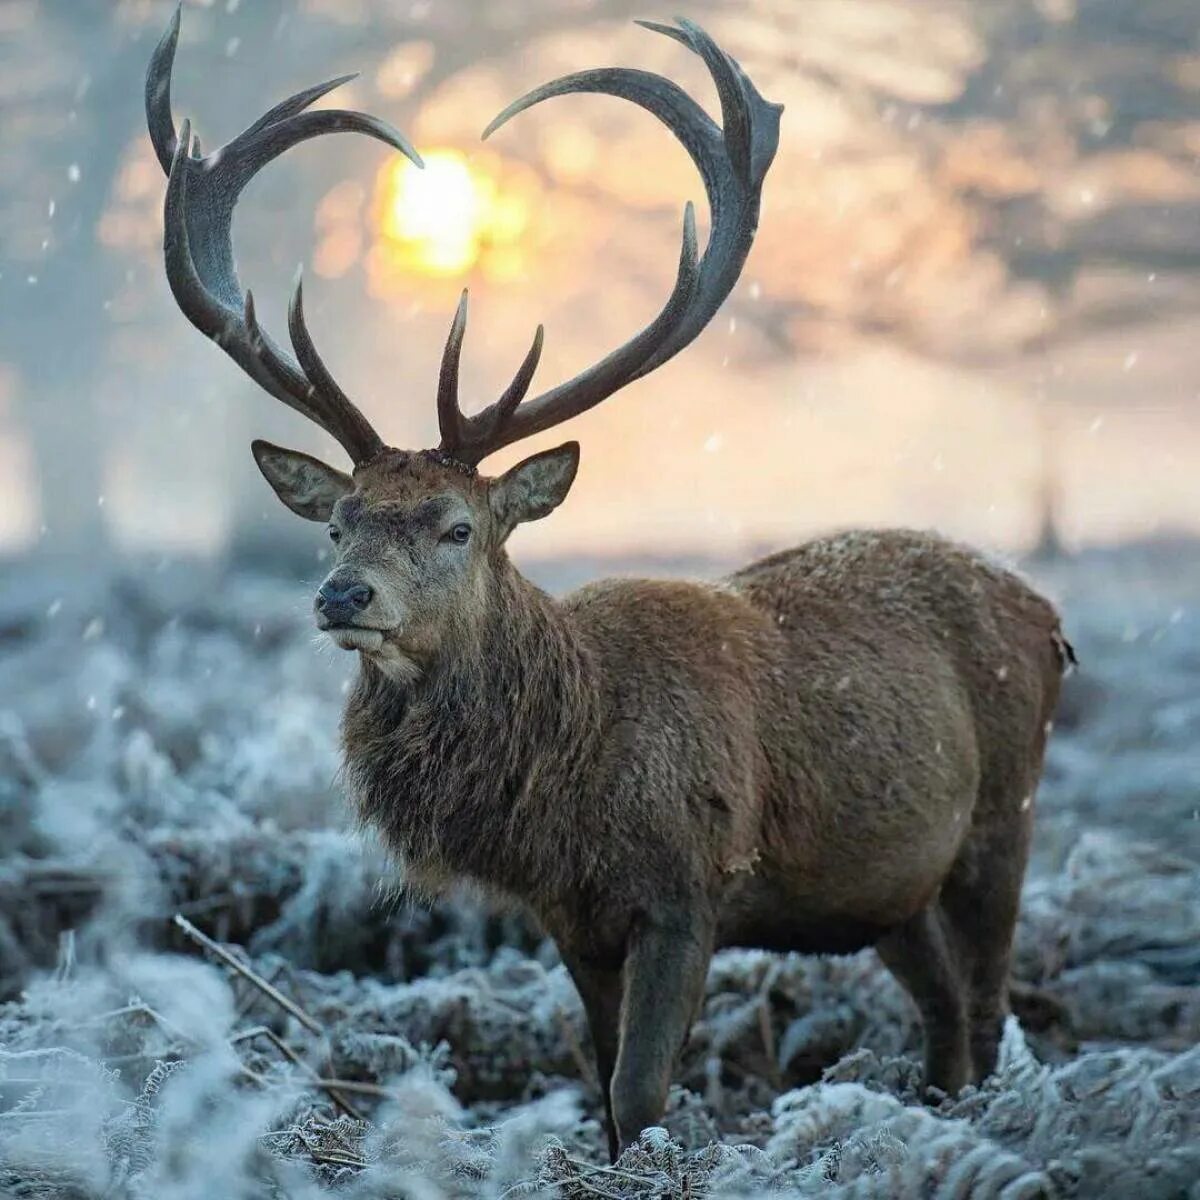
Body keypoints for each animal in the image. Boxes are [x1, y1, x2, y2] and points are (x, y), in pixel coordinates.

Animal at [145, 11, 1075, 1161]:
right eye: (336, 522)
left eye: (457, 526)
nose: (343, 598)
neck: (569, 784)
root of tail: (1046, 612)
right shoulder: (569, 917)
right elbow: (602, 1090)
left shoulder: (688, 888)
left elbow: (640, 1092)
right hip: (888, 889)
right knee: (944, 1012)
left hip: (1003, 818)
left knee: (987, 1007)